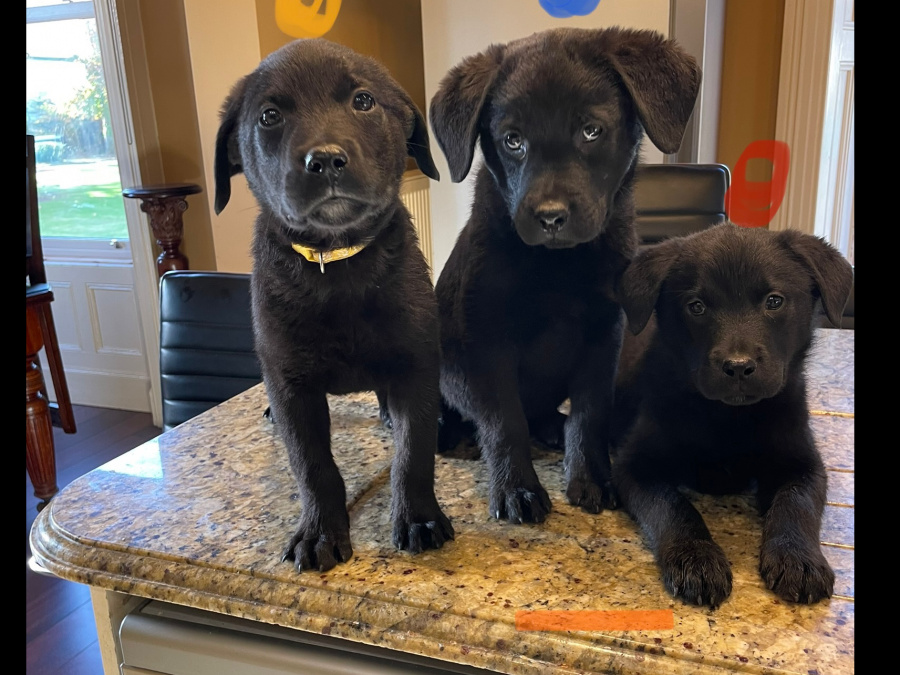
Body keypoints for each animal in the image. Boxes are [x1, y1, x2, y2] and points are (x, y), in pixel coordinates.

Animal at [214, 39, 454, 572]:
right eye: (269, 116)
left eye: (363, 101)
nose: (324, 160)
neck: (337, 262)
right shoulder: (292, 385)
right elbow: (312, 464)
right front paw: (320, 531)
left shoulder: (416, 362)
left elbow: (415, 452)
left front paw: (419, 516)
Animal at [428, 27, 704, 524]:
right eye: (512, 140)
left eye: (591, 131)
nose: (550, 217)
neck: (556, 266)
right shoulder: (487, 341)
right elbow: (504, 421)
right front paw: (516, 487)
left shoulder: (603, 334)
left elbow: (590, 413)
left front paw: (590, 476)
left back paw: (553, 428)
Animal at [612, 223, 852, 608]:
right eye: (696, 307)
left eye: (774, 301)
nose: (738, 367)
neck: (728, 416)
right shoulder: (633, 466)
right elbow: (672, 505)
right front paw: (696, 558)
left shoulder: (804, 462)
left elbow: (797, 502)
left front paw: (798, 558)